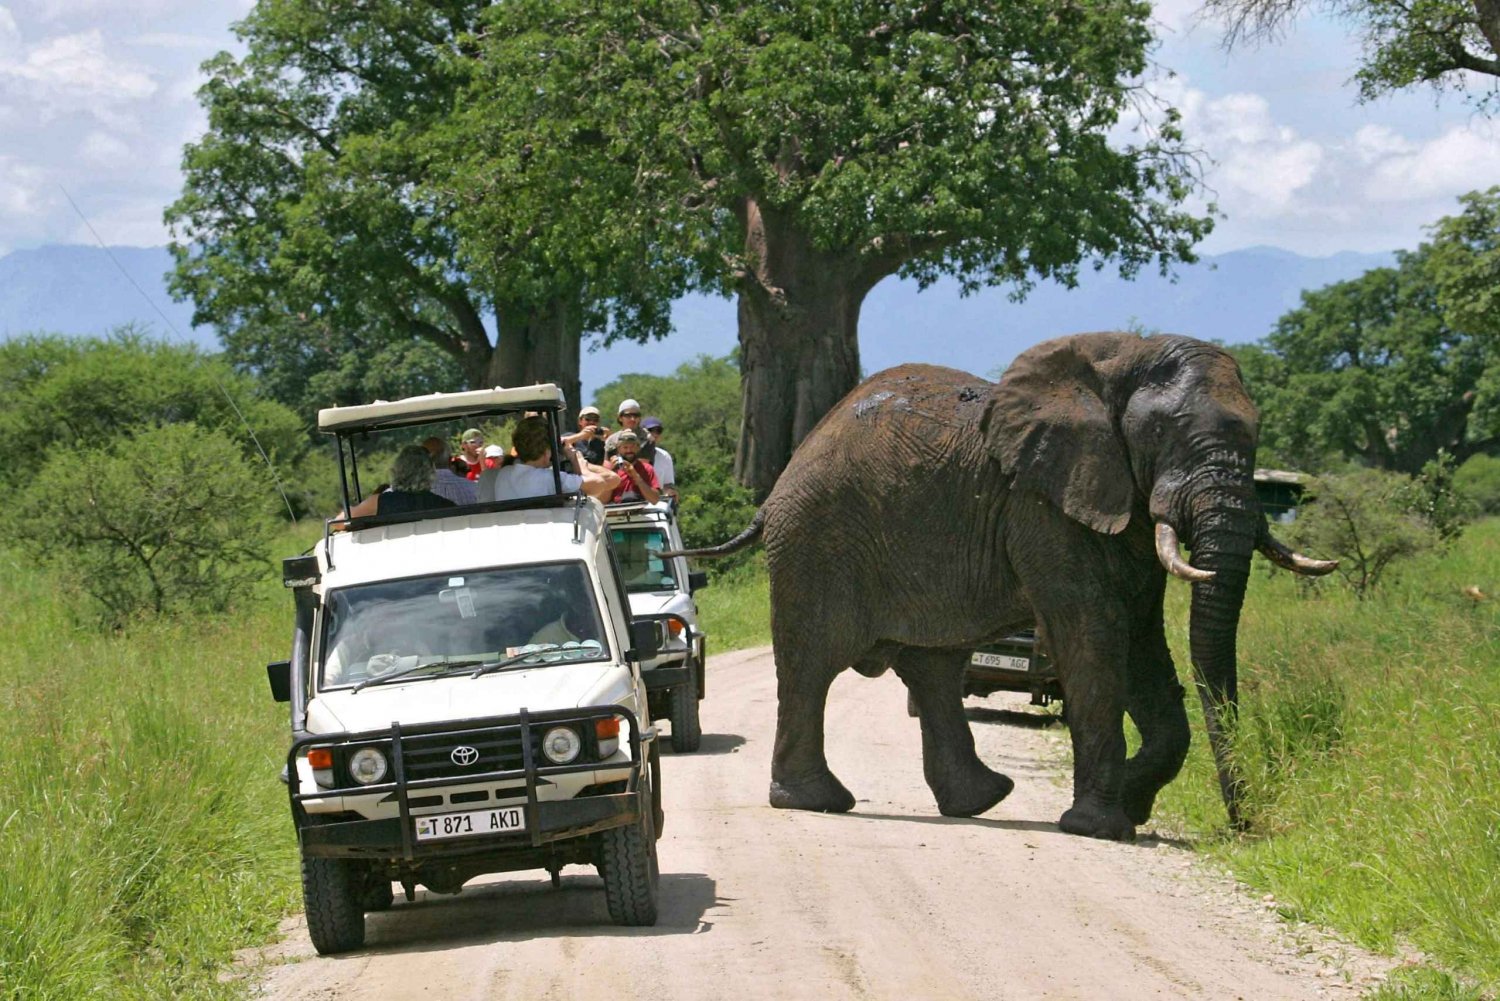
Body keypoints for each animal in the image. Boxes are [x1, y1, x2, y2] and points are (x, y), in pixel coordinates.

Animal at [672, 330, 1338, 840]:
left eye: (1257, 433)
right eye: (1162, 434)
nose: (1243, 827)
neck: (1122, 359)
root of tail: (780, 483)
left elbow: (1143, 641)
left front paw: (1130, 802)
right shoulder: (1041, 506)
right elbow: (1095, 637)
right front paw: (1100, 827)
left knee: (933, 667)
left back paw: (980, 800)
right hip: (816, 541)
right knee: (813, 664)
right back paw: (818, 802)